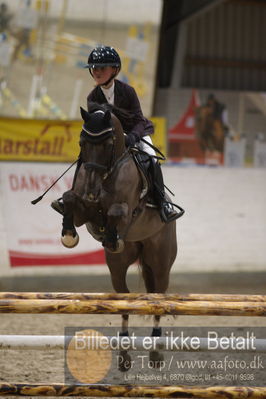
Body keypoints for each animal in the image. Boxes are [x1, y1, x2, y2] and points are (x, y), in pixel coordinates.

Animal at [59, 104, 178, 372]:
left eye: (108, 143)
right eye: (82, 142)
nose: (92, 190)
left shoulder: (126, 210)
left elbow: (115, 212)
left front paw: (112, 236)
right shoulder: (86, 212)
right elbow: (70, 199)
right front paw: (68, 234)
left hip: (160, 263)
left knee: (158, 298)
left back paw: (155, 350)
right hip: (117, 266)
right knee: (124, 300)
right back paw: (124, 352)